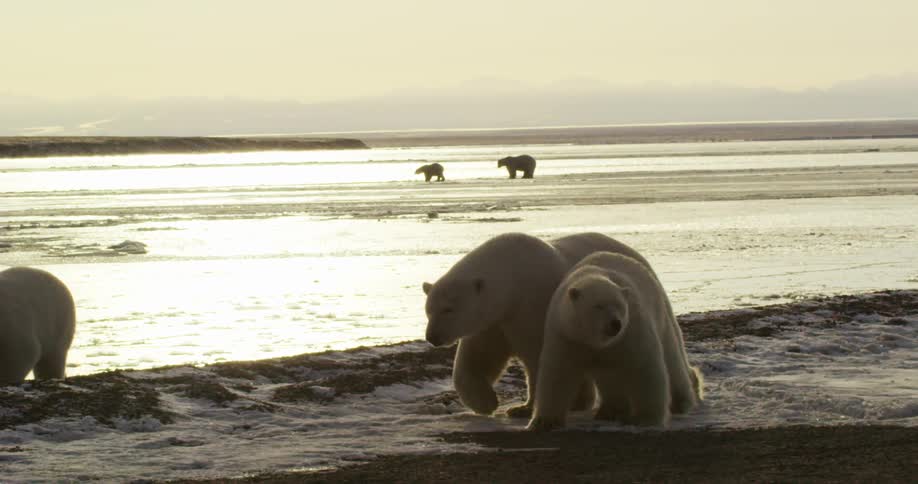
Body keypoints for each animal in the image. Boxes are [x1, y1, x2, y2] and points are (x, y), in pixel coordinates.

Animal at [422, 232, 658, 418]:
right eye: (429, 310)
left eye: (448, 309)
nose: (432, 336)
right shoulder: (494, 320)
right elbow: (479, 357)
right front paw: (487, 402)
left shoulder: (532, 307)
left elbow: (537, 356)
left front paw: (523, 409)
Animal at [528, 252, 703, 431]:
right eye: (598, 306)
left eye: (619, 305)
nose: (615, 324)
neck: (596, 341)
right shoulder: (567, 335)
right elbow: (558, 373)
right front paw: (543, 422)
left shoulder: (631, 330)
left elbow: (644, 366)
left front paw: (644, 418)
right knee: (609, 377)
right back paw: (610, 410)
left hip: (659, 315)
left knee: (671, 358)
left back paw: (680, 402)